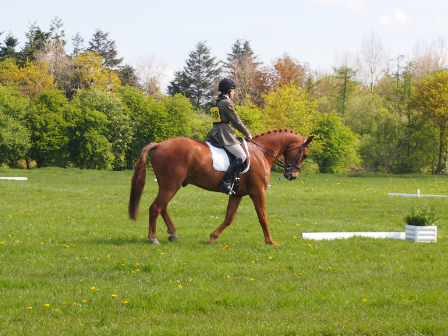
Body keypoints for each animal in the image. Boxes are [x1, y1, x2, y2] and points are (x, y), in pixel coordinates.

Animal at [128, 127, 314, 245]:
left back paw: (173, 234)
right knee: (156, 207)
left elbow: (229, 217)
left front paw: (212, 238)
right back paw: (153, 238)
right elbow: (263, 217)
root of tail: (160, 144)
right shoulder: (258, 192)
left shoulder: (237, 194)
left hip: (171, 185)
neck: (261, 153)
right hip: (171, 185)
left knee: (163, 207)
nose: (292, 176)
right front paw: (270, 241)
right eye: (304, 155)